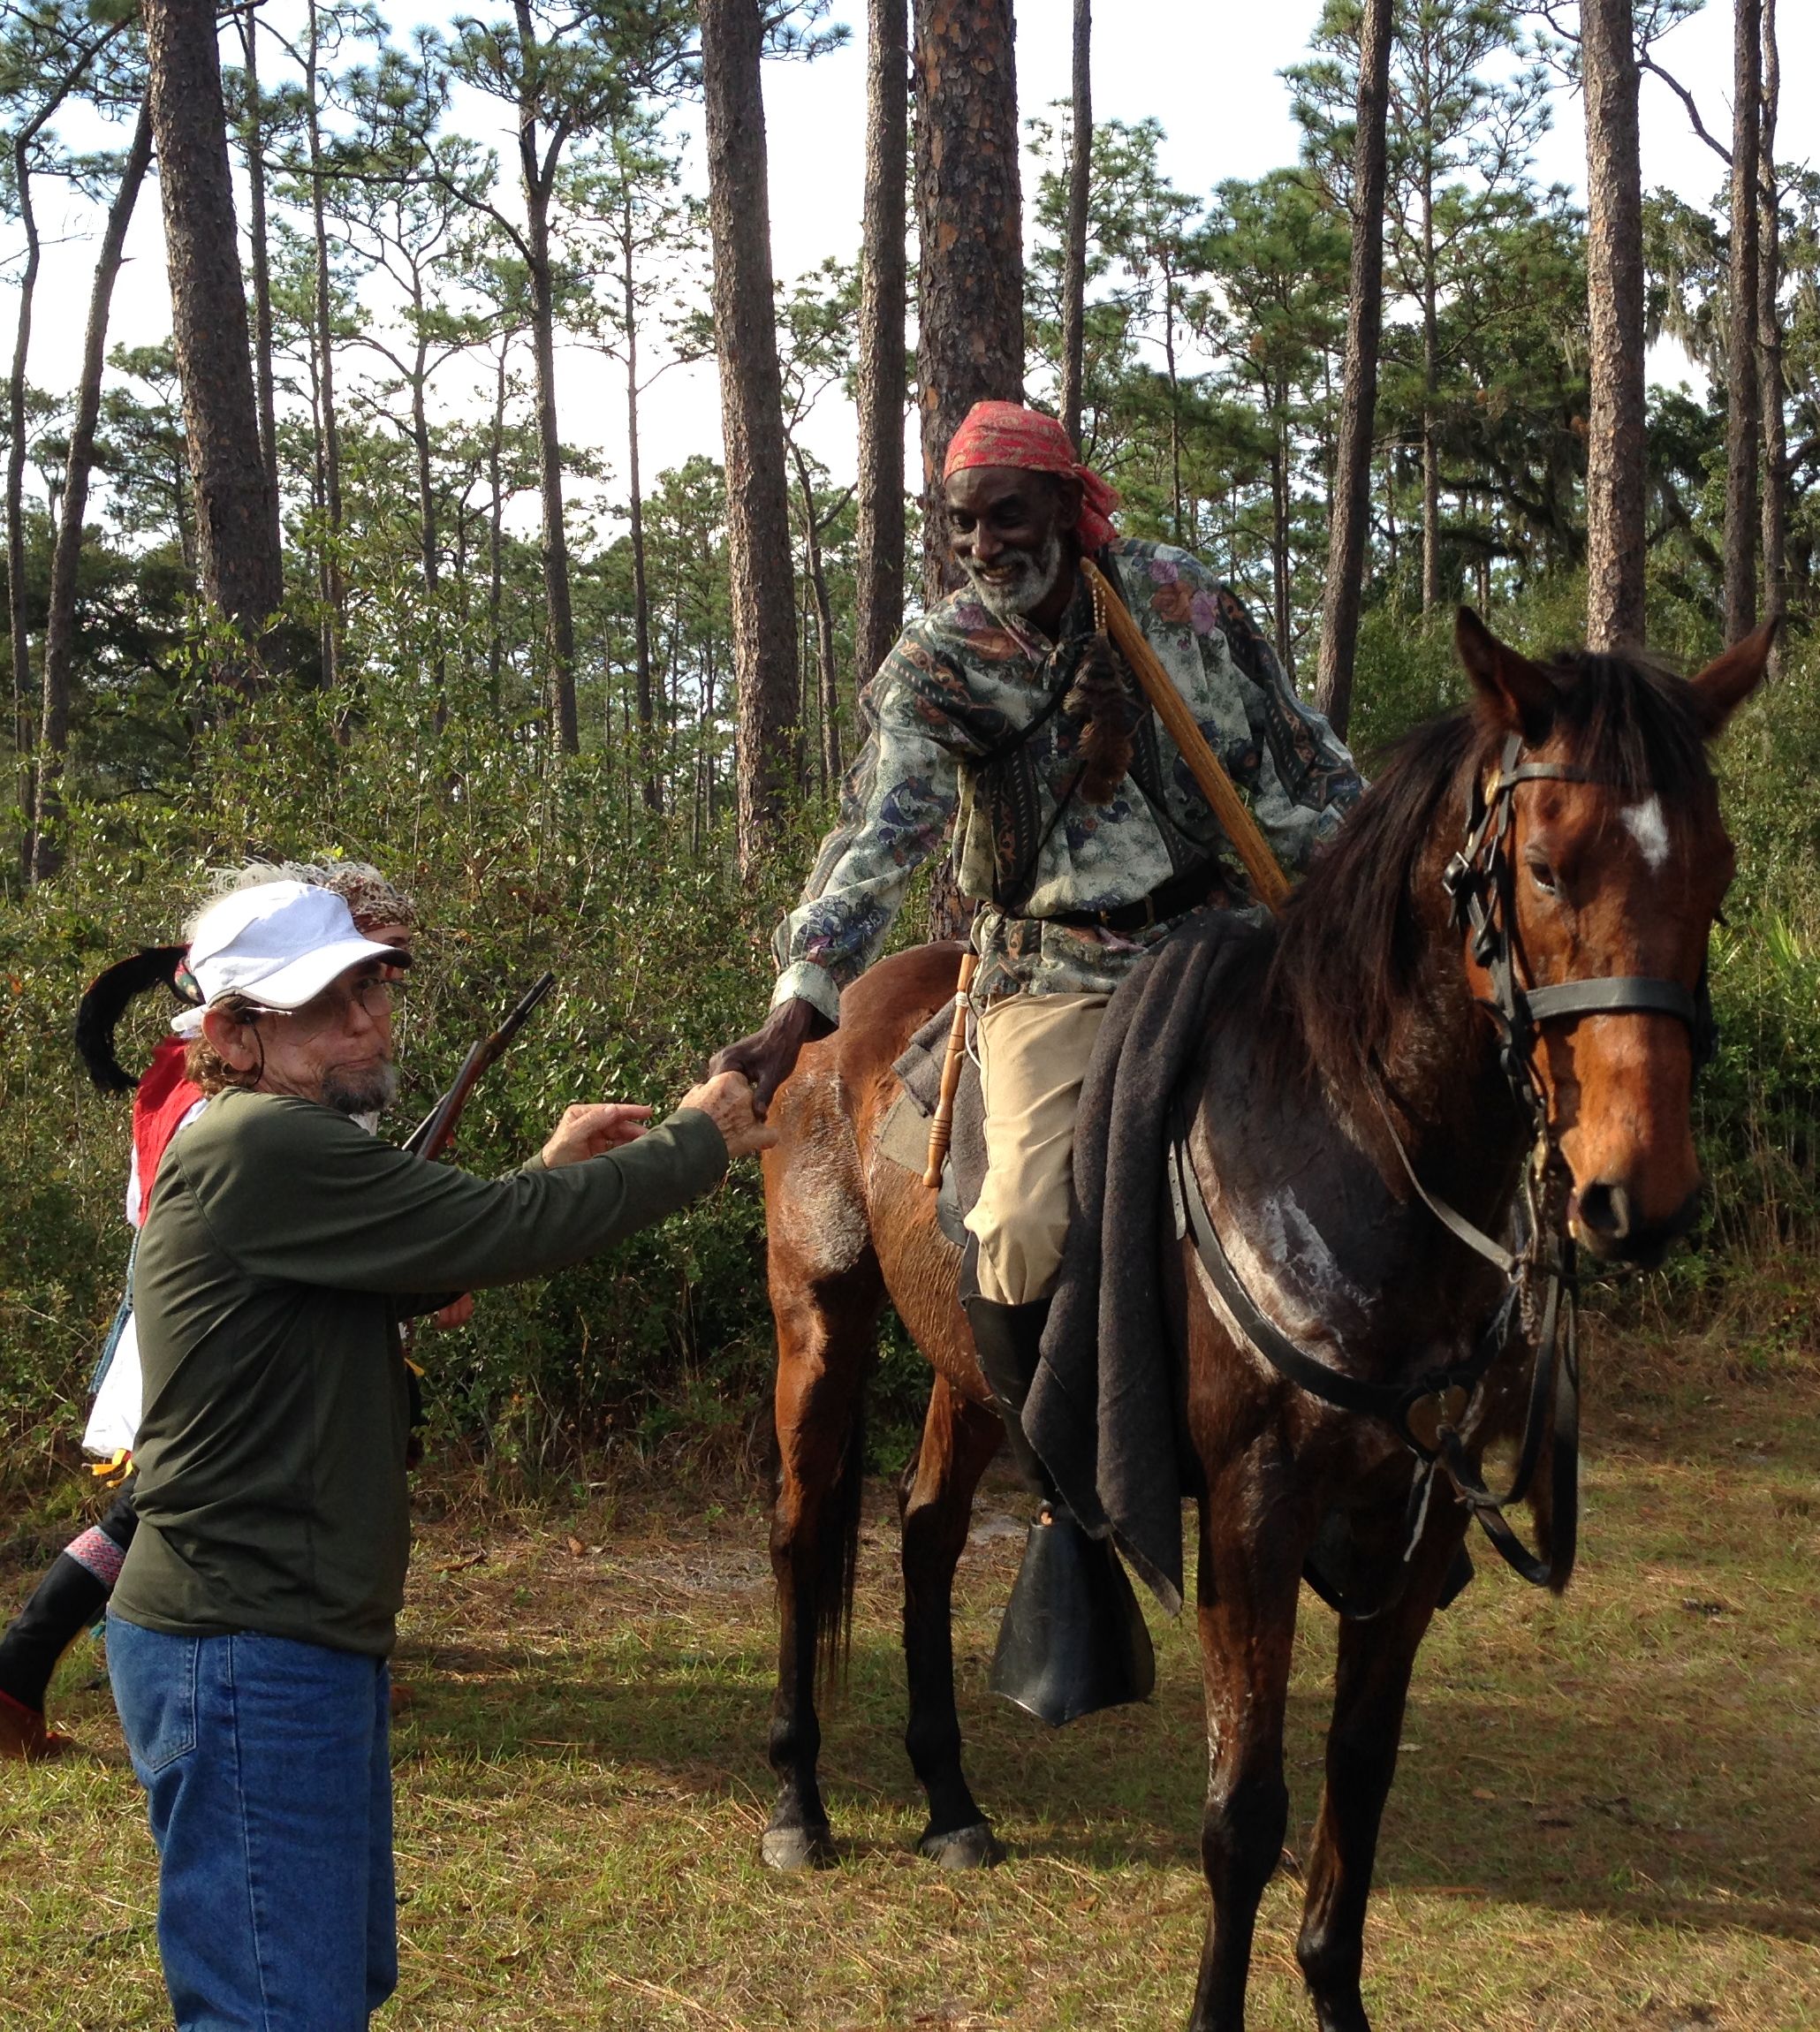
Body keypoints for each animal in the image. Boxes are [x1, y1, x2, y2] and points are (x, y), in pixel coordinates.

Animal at [755, 610, 1779, 2023]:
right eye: (1546, 869)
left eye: (1715, 873)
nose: (1641, 1196)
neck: (1358, 1148)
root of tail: (837, 1017)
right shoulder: (1253, 1511)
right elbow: (1243, 1811)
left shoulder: (1410, 1524)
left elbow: (1359, 1778)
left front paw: (1335, 1992)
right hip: (820, 1321)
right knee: (806, 1536)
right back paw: (798, 1801)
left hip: (970, 1365)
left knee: (921, 1532)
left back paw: (950, 1798)